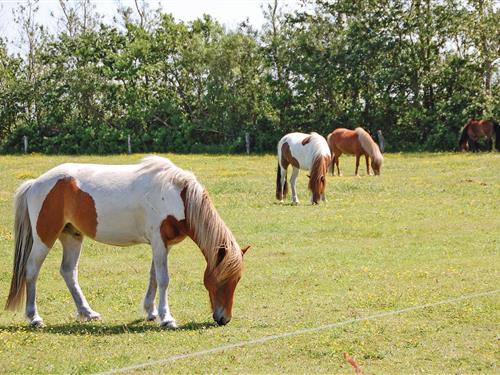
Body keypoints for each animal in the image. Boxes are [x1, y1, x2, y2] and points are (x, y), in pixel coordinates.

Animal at [6, 157, 249, 328]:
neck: (176, 195)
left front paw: (151, 312)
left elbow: (153, 277)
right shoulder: (159, 242)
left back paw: (88, 312)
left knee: (68, 271)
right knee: (32, 270)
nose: (224, 318)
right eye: (222, 279)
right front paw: (167, 318)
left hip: (72, 236)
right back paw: (34, 317)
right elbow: (163, 279)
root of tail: (35, 183)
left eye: (237, 280)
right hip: (44, 238)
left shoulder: (163, 245)